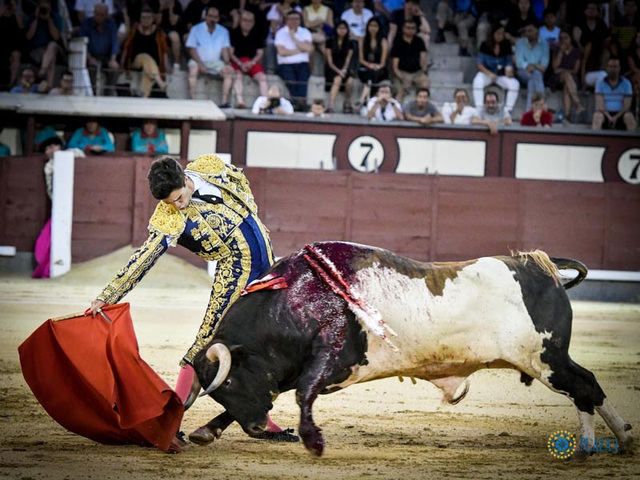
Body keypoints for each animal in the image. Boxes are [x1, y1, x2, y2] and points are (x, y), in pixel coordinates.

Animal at [188, 242, 632, 456]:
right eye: (221, 391)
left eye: (231, 383)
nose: (257, 428)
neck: (294, 297)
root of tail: (538, 263)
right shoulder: (291, 368)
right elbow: (283, 392)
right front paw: (205, 431)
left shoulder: (331, 360)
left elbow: (302, 395)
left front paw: (313, 441)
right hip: (549, 358)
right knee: (586, 385)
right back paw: (609, 441)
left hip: (546, 358)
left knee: (585, 386)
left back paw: (600, 444)